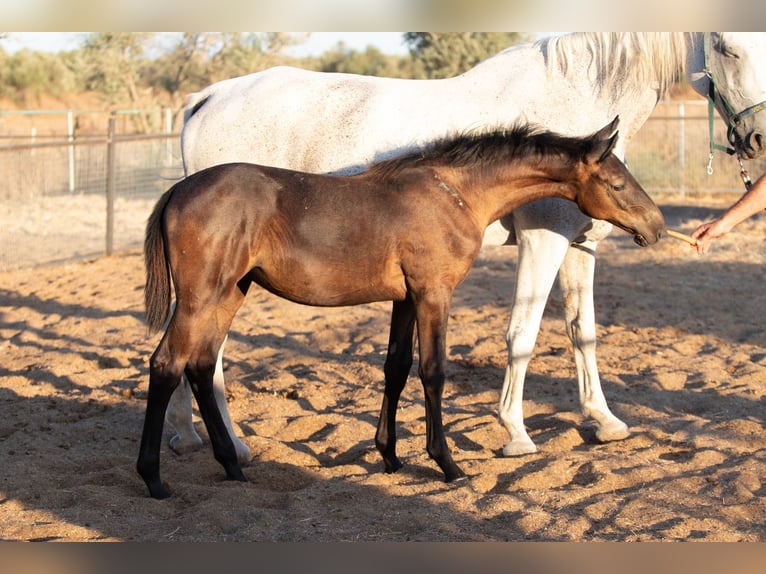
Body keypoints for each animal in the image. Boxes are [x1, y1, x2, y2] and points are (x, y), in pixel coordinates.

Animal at [136, 120, 665, 498]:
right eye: (617, 183)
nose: (656, 227)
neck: (454, 193)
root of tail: (177, 190)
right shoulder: (433, 293)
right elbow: (432, 372)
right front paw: (447, 463)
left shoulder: (405, 297)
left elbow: (395, 367)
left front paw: (390, 457)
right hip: (202, 297)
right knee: (167, 364)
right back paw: (154, 479)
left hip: (231, 292)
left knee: (200, 367)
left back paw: (231, 466)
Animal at [171, 33, 766, 462]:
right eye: (727, 46)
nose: (757, 138)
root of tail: (207, 97)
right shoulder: (542, 242)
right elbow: (522, 335)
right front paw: (515, 433)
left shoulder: (579, 245)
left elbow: (584, 333)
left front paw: (604, 421)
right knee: (207, 351)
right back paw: (230, 446)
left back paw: (188, 435)